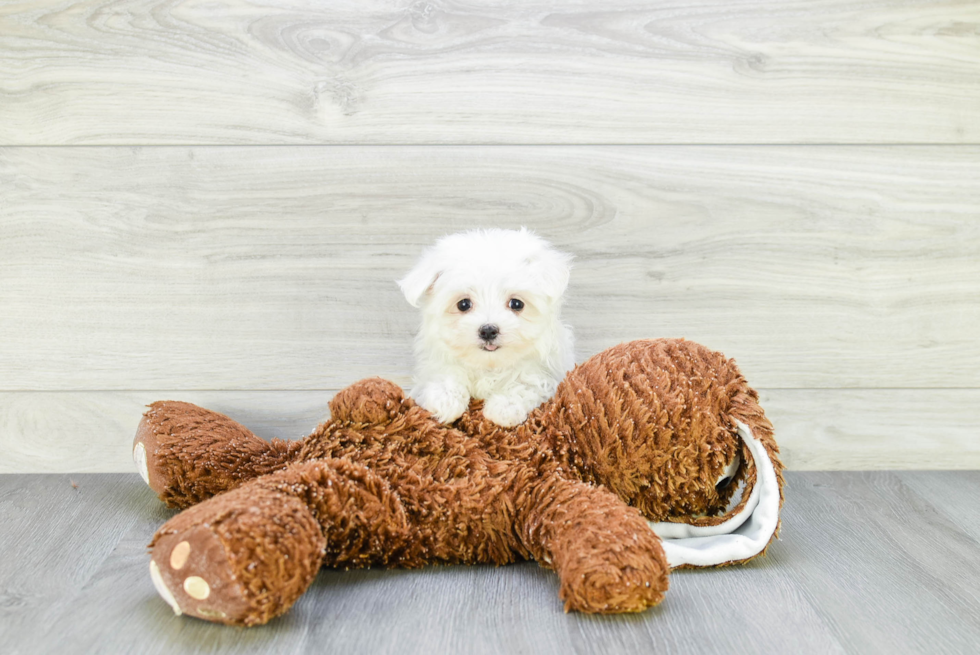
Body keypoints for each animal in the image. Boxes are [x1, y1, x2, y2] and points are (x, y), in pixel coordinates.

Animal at [398, 228, 576, 428]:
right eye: (463, 304)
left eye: (516, 304)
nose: (488, 330)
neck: (489, 365)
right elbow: (445, 372)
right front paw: (445, 399)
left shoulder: (545, 371)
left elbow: (527, 382)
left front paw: (504, 408)